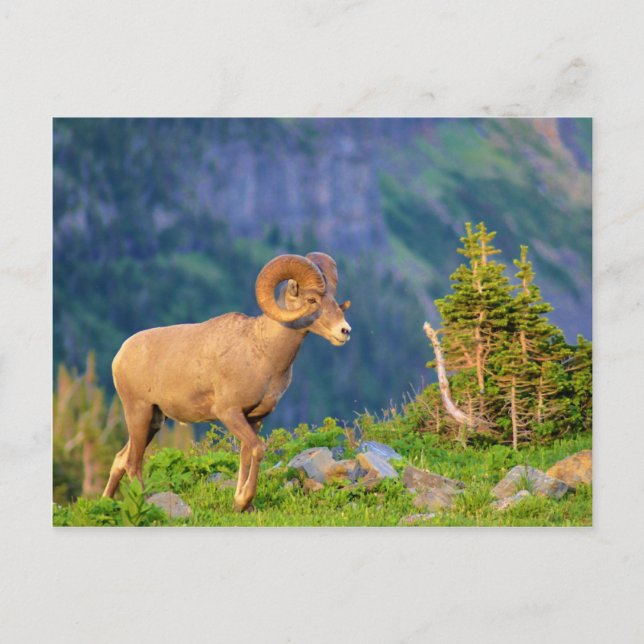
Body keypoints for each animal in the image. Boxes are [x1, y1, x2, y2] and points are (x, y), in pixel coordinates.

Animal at [102, 252, 351, 512]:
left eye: (334, 300)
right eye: (312, 299)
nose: (344, 331)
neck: (262, 351)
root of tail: (120, 355)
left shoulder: (254, 419)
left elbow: (246, 455)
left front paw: (240, 503)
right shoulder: (229, 413)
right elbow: (258, 450)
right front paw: (243, 501)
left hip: (155, 420)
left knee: (121, 459)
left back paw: (105, 502)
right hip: (138, 414)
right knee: (132, 463)